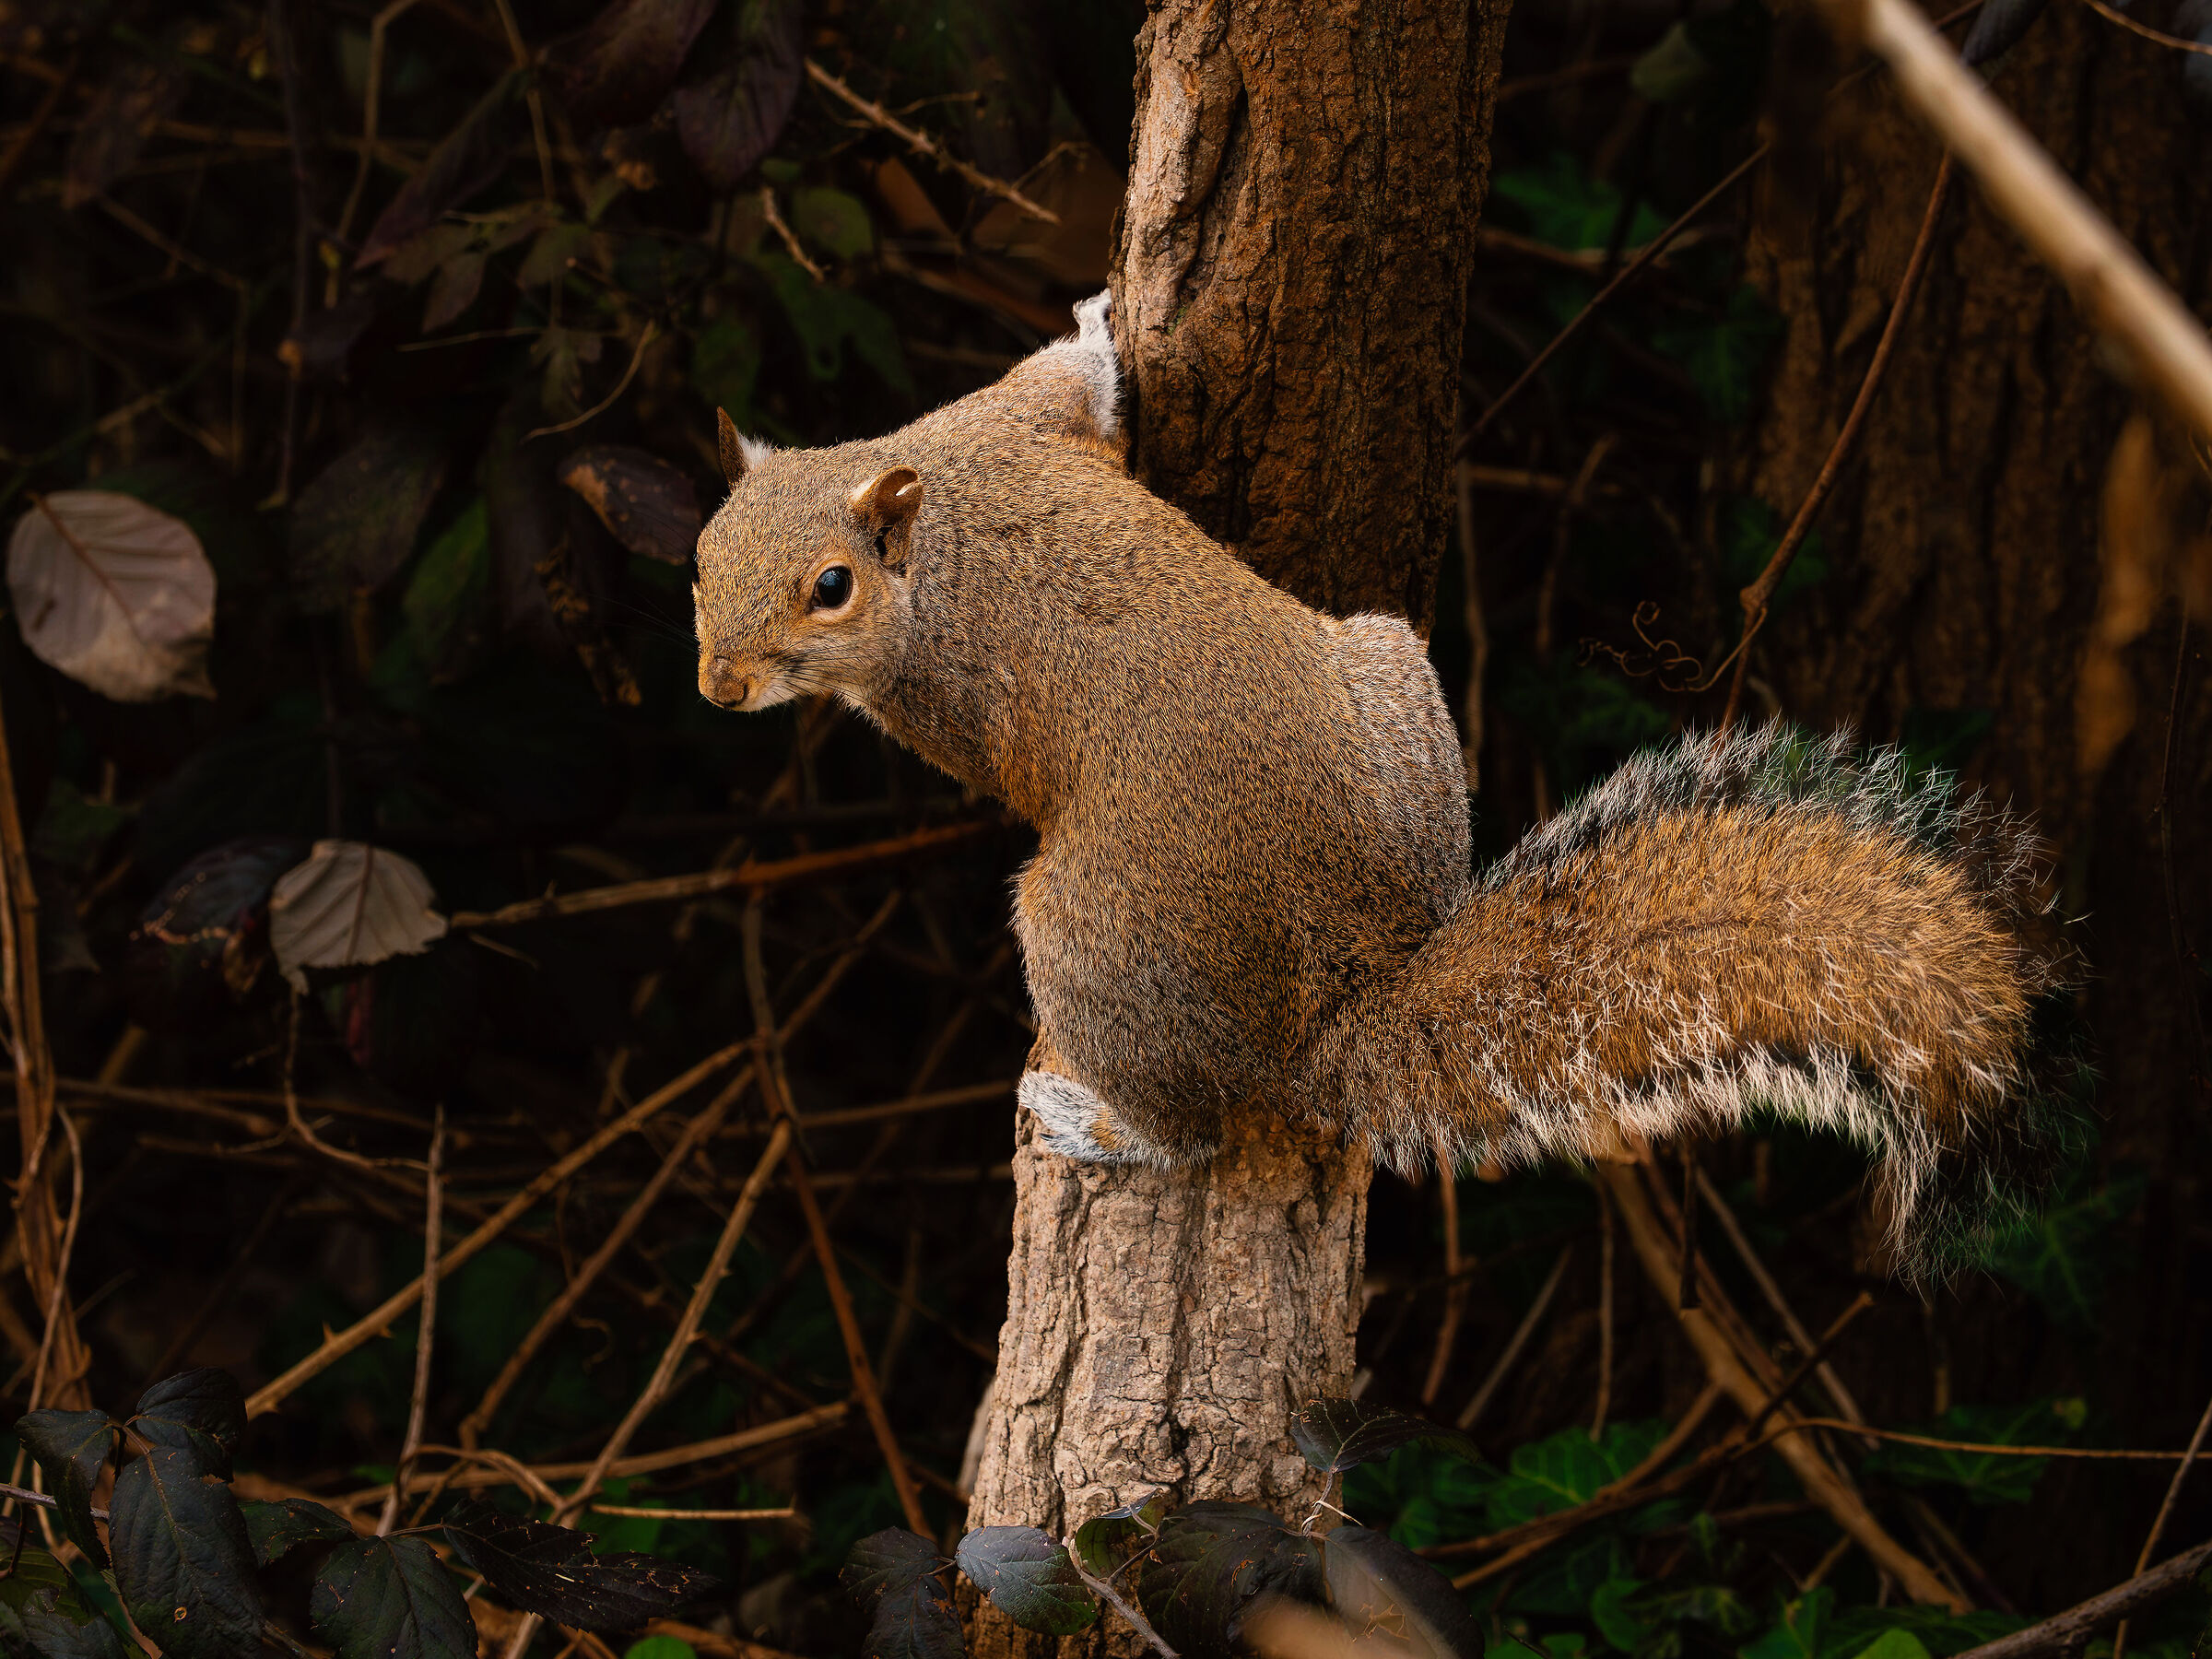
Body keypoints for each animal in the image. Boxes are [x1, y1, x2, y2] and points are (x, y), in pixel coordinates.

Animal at [692, 293, 2075, 1271]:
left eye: (829, 589)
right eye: (702, 550)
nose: (716, 689)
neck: (938, 524)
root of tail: (1340, 991)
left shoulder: (946, 661)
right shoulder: (1008, 427)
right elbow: (1070, 380)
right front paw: (1094, 318)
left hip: (1094, 929)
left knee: (1190, 1129)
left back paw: (1105, 1124)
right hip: (1389, 670)